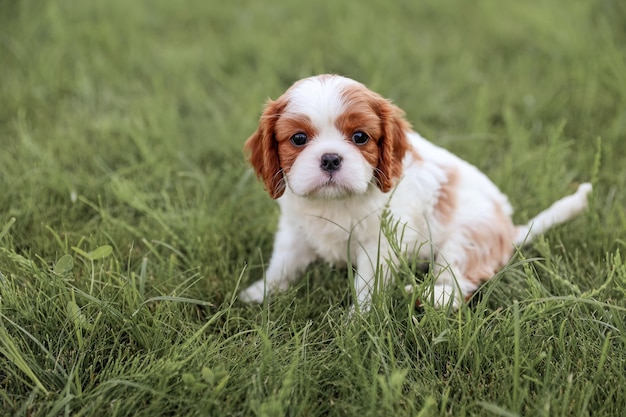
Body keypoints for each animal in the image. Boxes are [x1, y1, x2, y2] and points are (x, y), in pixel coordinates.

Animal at [238, 74, 588, 308]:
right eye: (298, 139)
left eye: (360, 137)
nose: (330, 158)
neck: (335, 202)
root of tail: (509, 229)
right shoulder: (294, 229)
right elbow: (283, 263)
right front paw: (260, 293)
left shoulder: (379, 243)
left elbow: (367, 284)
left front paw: (358, 321)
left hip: (465, 239)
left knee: (458, 282)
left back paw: (424, 295)